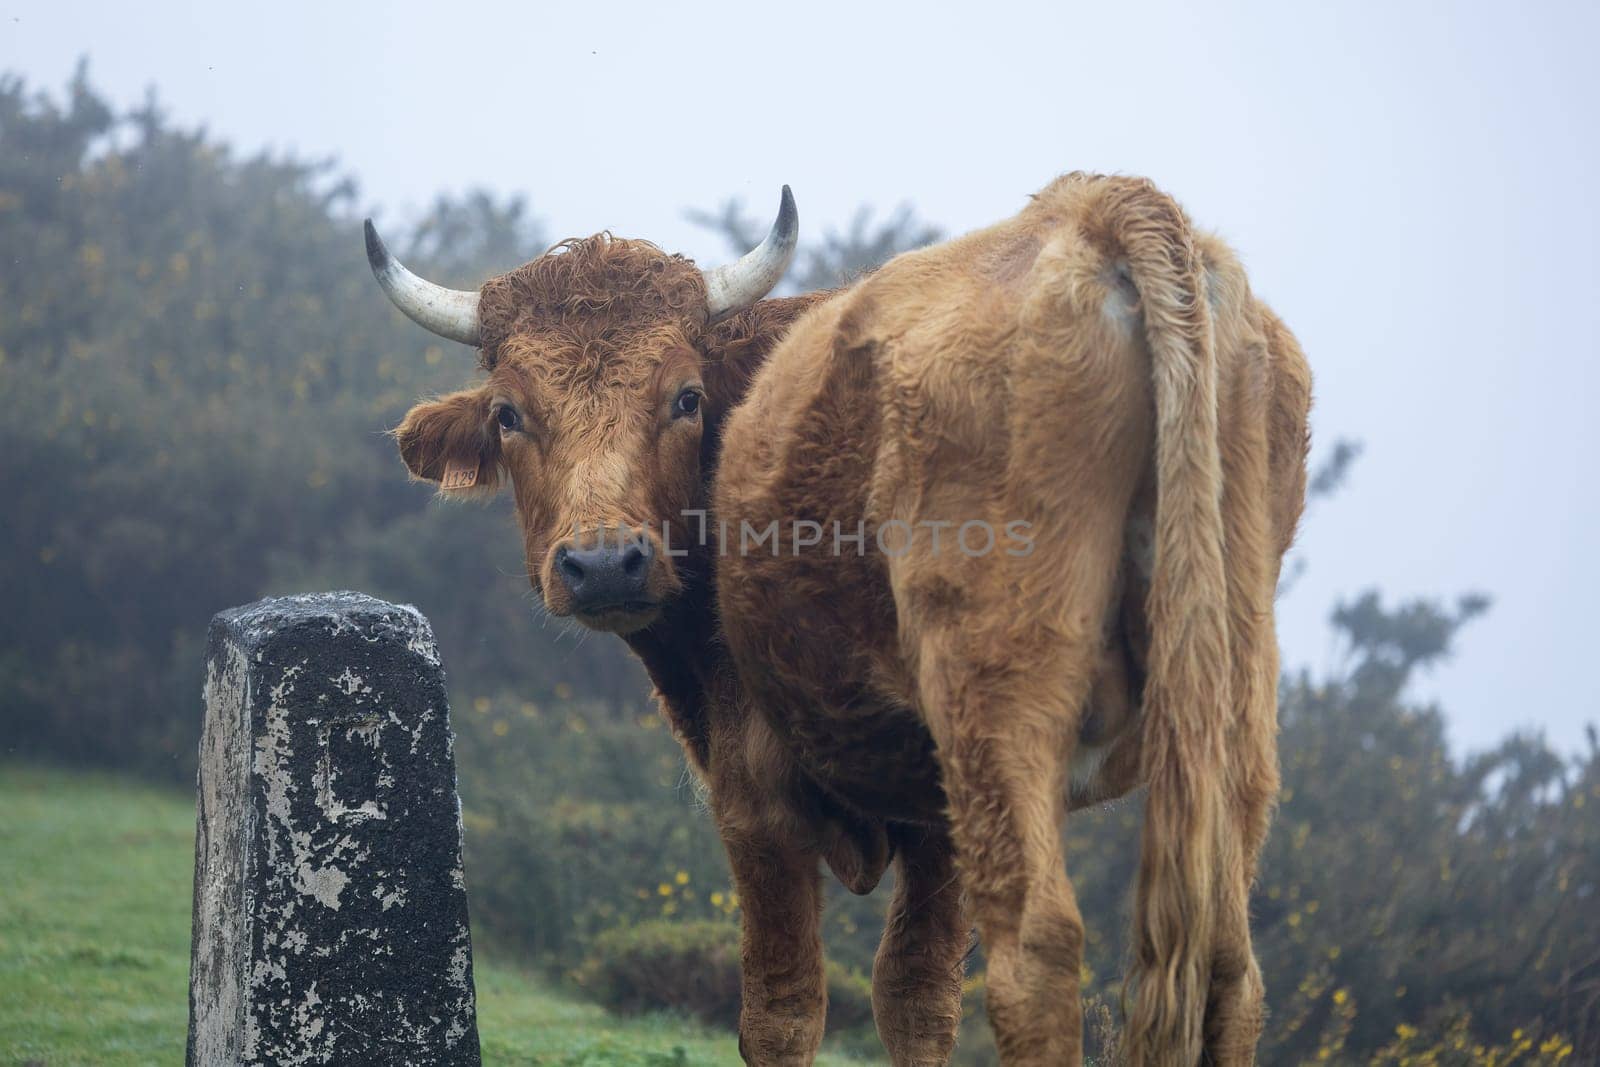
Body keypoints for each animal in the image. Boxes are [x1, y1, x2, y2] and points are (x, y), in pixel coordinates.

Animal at [713, 171, 1312, 1062]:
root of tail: (1104, 209)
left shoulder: (751, 778)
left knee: (1035, 949)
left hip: (994, 690)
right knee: (1234, 970)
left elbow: (784, 1003)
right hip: (1236, 702)